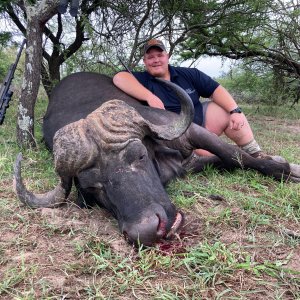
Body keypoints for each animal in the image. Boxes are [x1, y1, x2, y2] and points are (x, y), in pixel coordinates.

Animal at [13, 72, 300, 246]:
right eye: (93, 188)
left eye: (139, 156)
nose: (150, 230)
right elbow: (225, 160)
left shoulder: (190, 132)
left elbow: (235, 155)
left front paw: (285, 168)